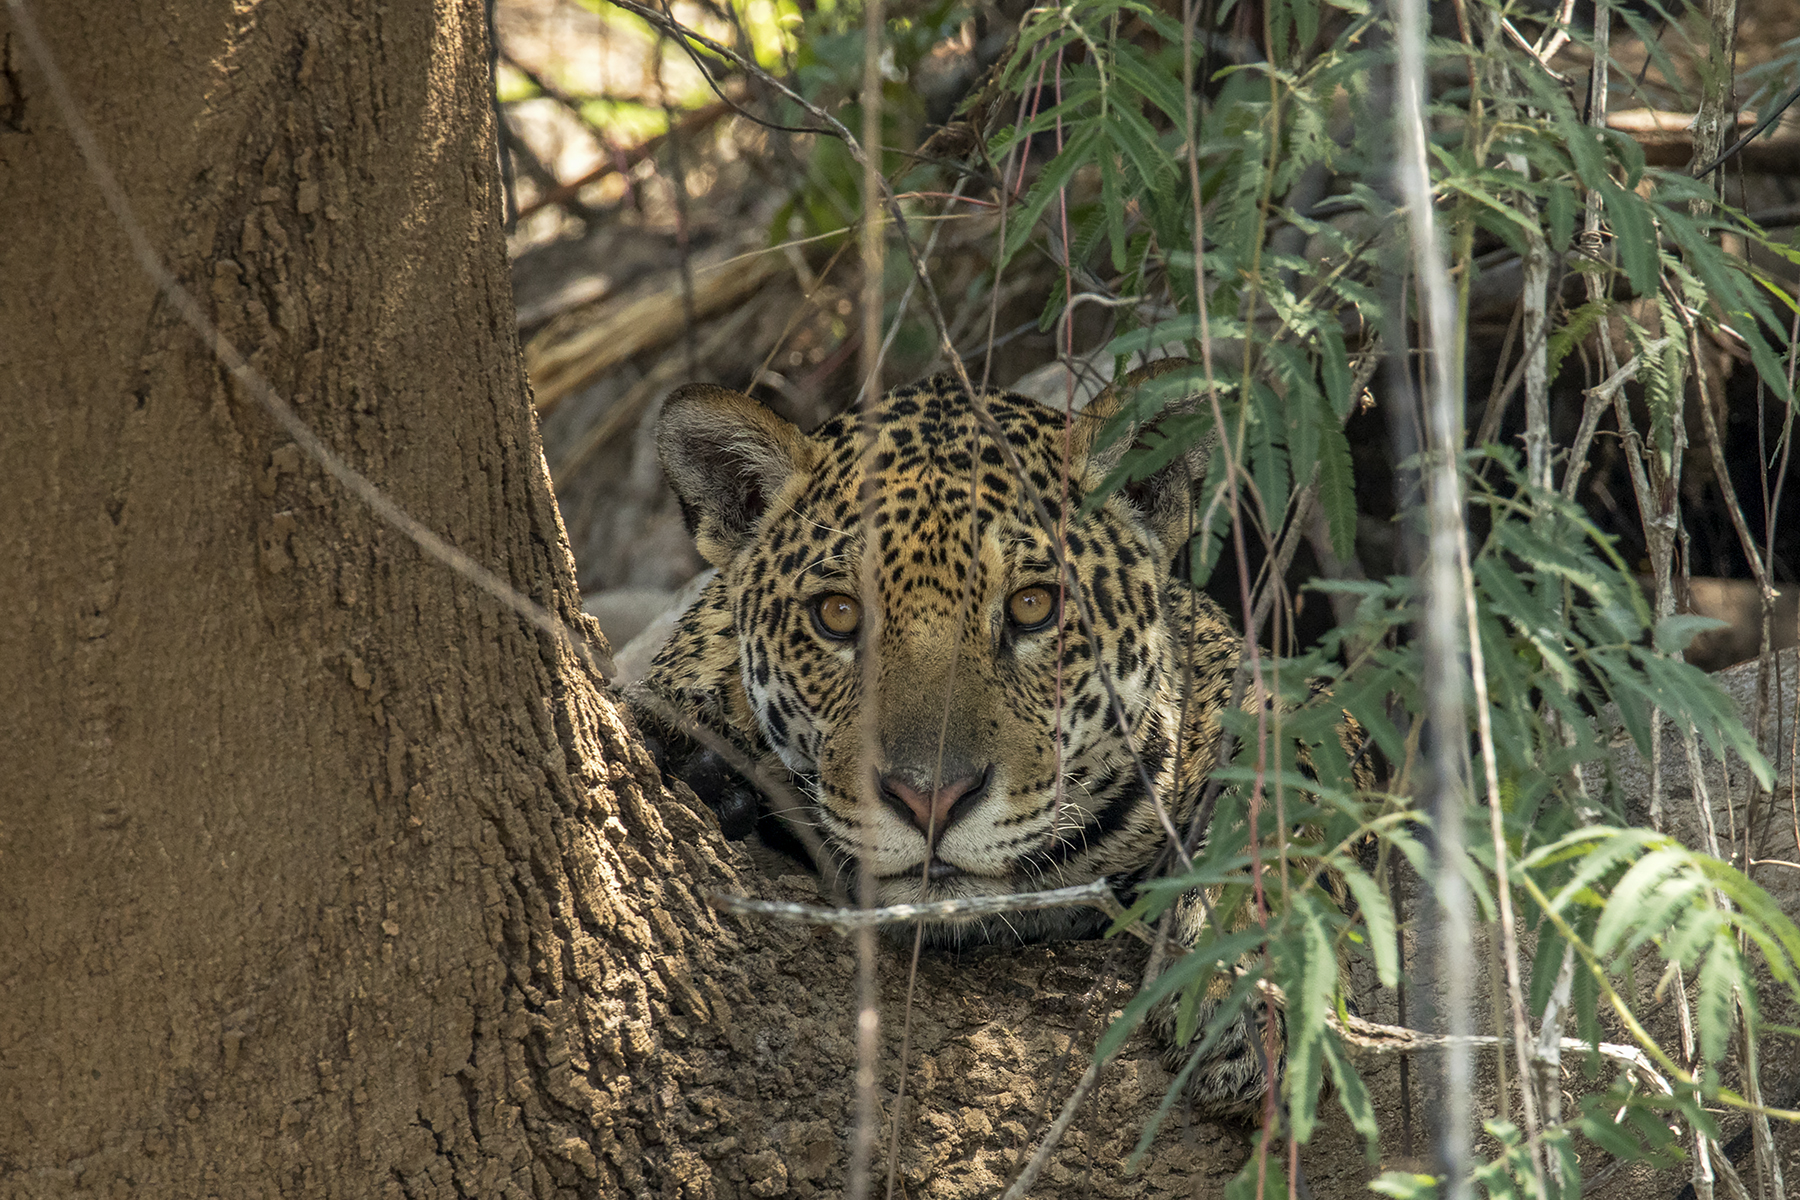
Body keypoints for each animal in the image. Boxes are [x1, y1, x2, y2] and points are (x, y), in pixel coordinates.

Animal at [631, 361, 1322, 1113]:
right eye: (837, 614)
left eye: (1033, 606)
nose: (929, 798)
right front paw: (697, 756)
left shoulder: (1268, 690)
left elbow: (1290, 799)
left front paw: (1242, 995)